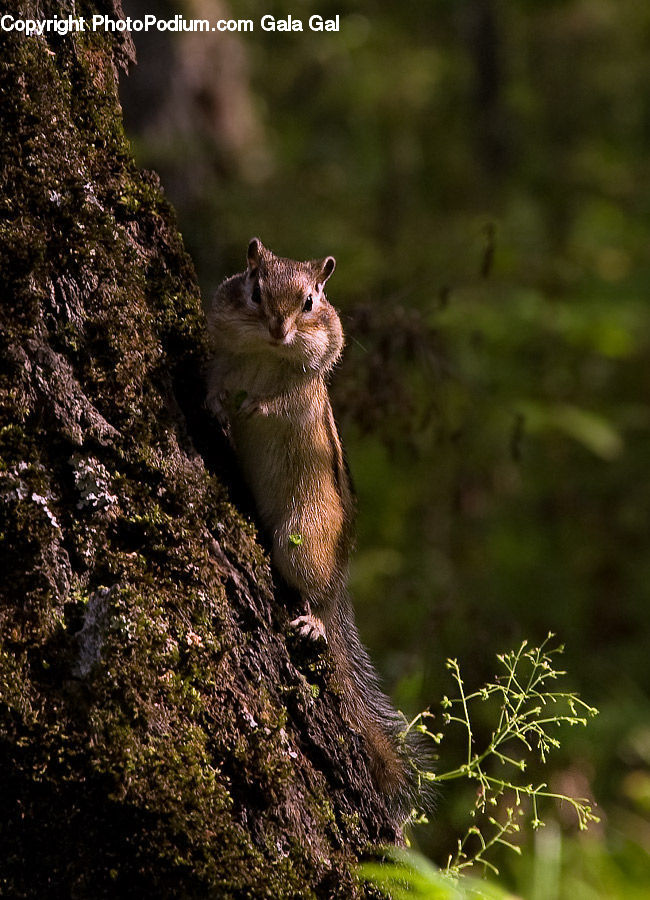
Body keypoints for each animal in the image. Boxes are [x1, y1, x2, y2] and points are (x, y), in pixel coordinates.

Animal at [206, 238, 428, 819]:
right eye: (253, 287)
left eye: (310, 301)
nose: (278, 329)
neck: (268, 357)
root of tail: (341, 576)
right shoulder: (223, 362)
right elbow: (216, 383)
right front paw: (218, 405)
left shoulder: (304, 393)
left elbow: (278, 403)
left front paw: (254, 406)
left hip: (300, 541)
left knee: (312, 591)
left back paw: (313, 622)